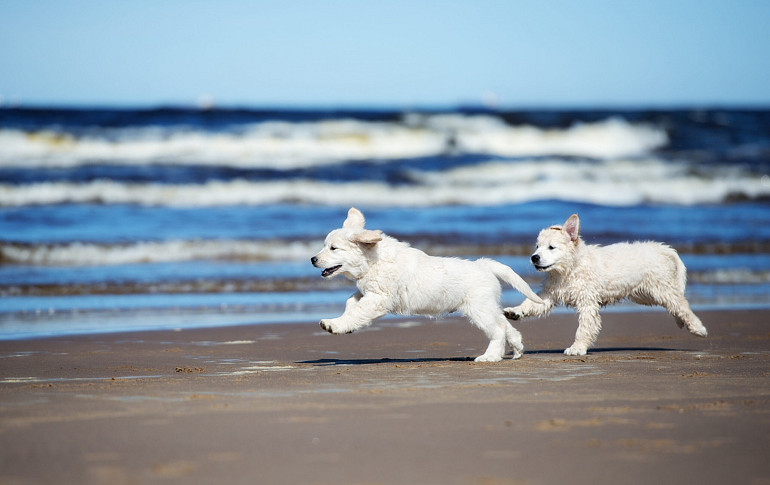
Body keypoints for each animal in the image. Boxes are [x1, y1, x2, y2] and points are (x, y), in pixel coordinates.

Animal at [310, 206, 540, 362]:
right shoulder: (370, 292)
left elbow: (357, 311)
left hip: (478, 309)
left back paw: (490, 356)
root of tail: (483, 265)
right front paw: (345, 322)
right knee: (505, 323)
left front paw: (335, 325)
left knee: (498, 329)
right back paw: (517, 347)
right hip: (487, 306)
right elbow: (351, 301)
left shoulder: (379, 298)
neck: (373, 260)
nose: (313, 259)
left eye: (333, 248)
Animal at [500, 214, 704, 354]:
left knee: (681, 304)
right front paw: (515, 311)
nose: (534, 258)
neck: (568, 270)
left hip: (660, 288)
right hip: (645, 294)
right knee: (675, 305)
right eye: (537, 246)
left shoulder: (587, 301)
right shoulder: (549, 293)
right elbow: (532, 303)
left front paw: (577, 348)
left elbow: (584, 328)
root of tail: (661, 248)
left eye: (551, 247)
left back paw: (698, 328)